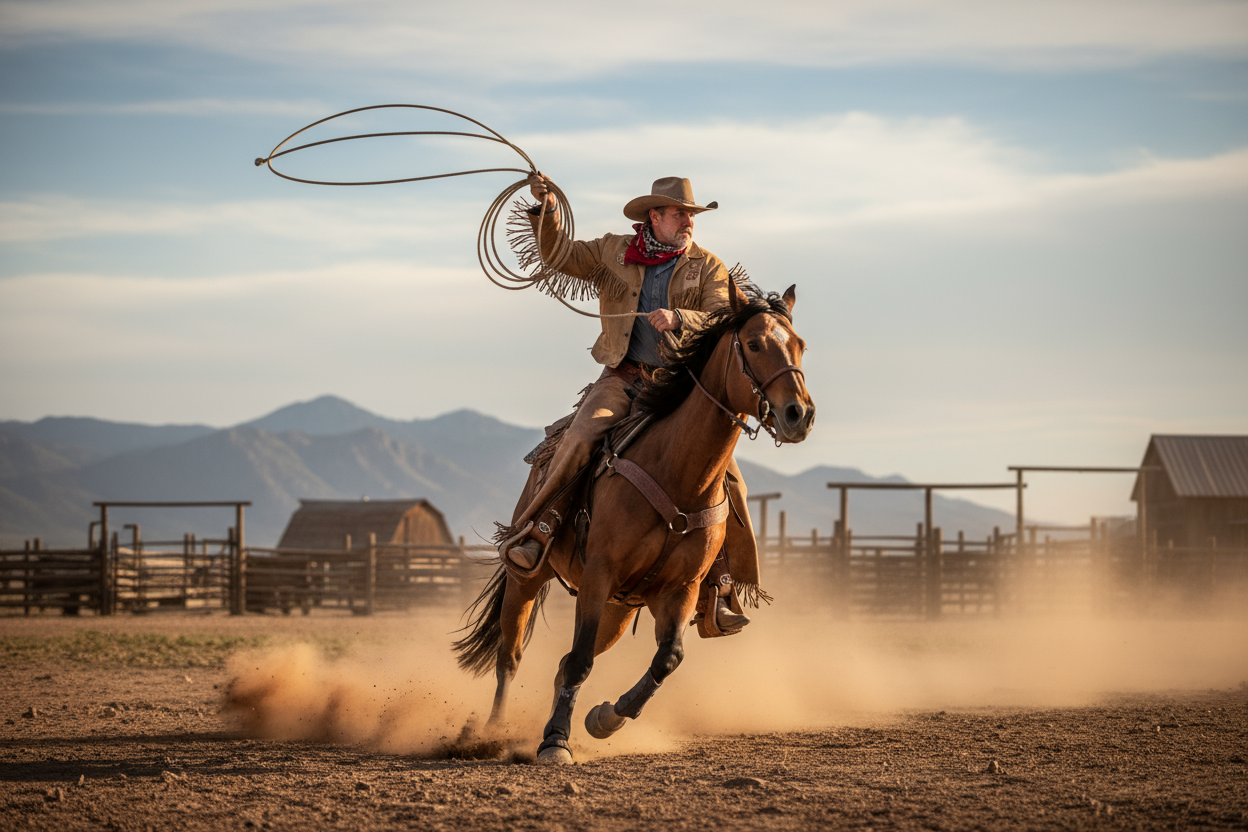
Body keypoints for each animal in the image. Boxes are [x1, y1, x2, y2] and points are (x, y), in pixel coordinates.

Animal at [453, 278, 815, 763]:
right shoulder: (599, 573)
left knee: (565, 663)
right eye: (755, 344)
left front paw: (605, 718)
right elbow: (581, 660)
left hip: (619, 609)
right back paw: (493, 732)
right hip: (529, 579)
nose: (800, 414)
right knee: (510, 656)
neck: (677, 471)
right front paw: (555, 743)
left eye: (800, 345)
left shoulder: (680, 589)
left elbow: (667, 658)